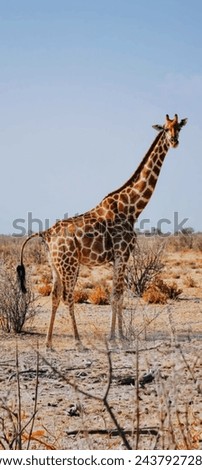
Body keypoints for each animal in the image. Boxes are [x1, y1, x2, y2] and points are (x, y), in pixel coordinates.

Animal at [17, 114, 188, 348]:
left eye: (178, 127)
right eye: (165, 128)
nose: (175, 141)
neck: (132, 209)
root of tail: (46, 234)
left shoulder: (117, 257)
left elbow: (118, 294)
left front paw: (117, 335)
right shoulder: (122, 253)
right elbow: (117, 294)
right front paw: (117, 337)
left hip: (55, 265)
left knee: (54, 296)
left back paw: (48, 343)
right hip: (70, 264)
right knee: (68, 297)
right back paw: (78, 341)